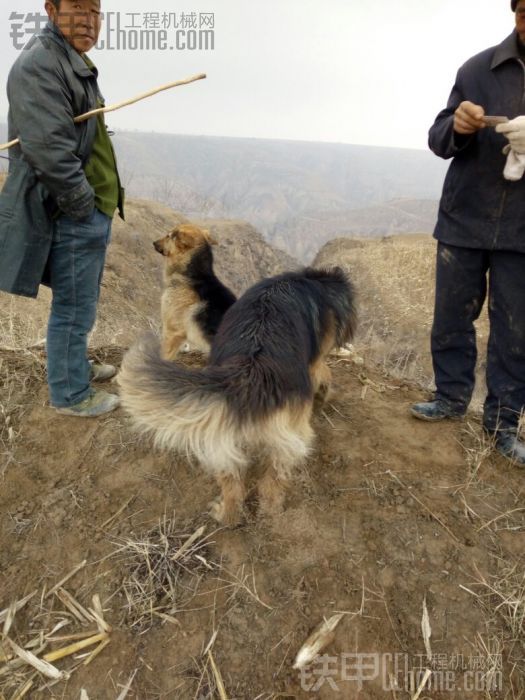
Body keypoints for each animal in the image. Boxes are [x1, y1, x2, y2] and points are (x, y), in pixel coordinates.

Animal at [118, 268, 356, 524]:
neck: (315, 280)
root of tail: (250, 370)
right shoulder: (314, 361)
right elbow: (324, 372)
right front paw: (324, 396)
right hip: (286, 436)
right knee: (273, 481)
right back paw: (272, 513)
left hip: (220, 433)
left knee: (232, 481)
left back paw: (227, 516)